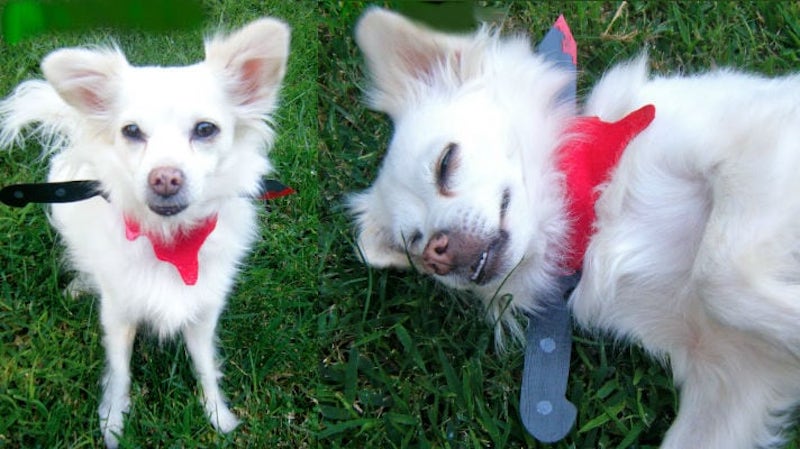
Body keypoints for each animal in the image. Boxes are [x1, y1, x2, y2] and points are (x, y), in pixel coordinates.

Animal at [0, 18, 290, 448]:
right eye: (132, 131)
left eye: (206, 129)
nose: (164, 177)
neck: (172, 241)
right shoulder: (118, 316)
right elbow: (120, 371)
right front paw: (112, 422)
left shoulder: (203, 314)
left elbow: (205, 366)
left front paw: (217, 415)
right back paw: (80, 284)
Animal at [352, 7, 800, 448]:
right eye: (414, 242)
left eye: (445, 163)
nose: (435, 254)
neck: (595, 220)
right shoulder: (732, 378)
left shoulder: (750, 145)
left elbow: (715, 276)